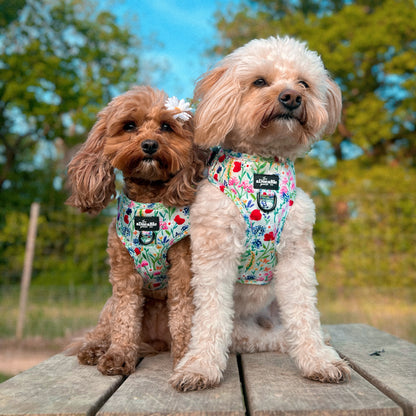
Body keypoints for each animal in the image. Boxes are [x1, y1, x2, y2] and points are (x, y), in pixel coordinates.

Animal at [171, 35, 350, 390]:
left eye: (304, 83)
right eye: (259, 82)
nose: (292, 97)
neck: (264, 168)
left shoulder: (296, 256)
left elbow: (305, 314)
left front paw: (318, 360)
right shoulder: (215, 255)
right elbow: (211, 317)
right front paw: (200, 367)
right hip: (241, 324)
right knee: (251, 337)